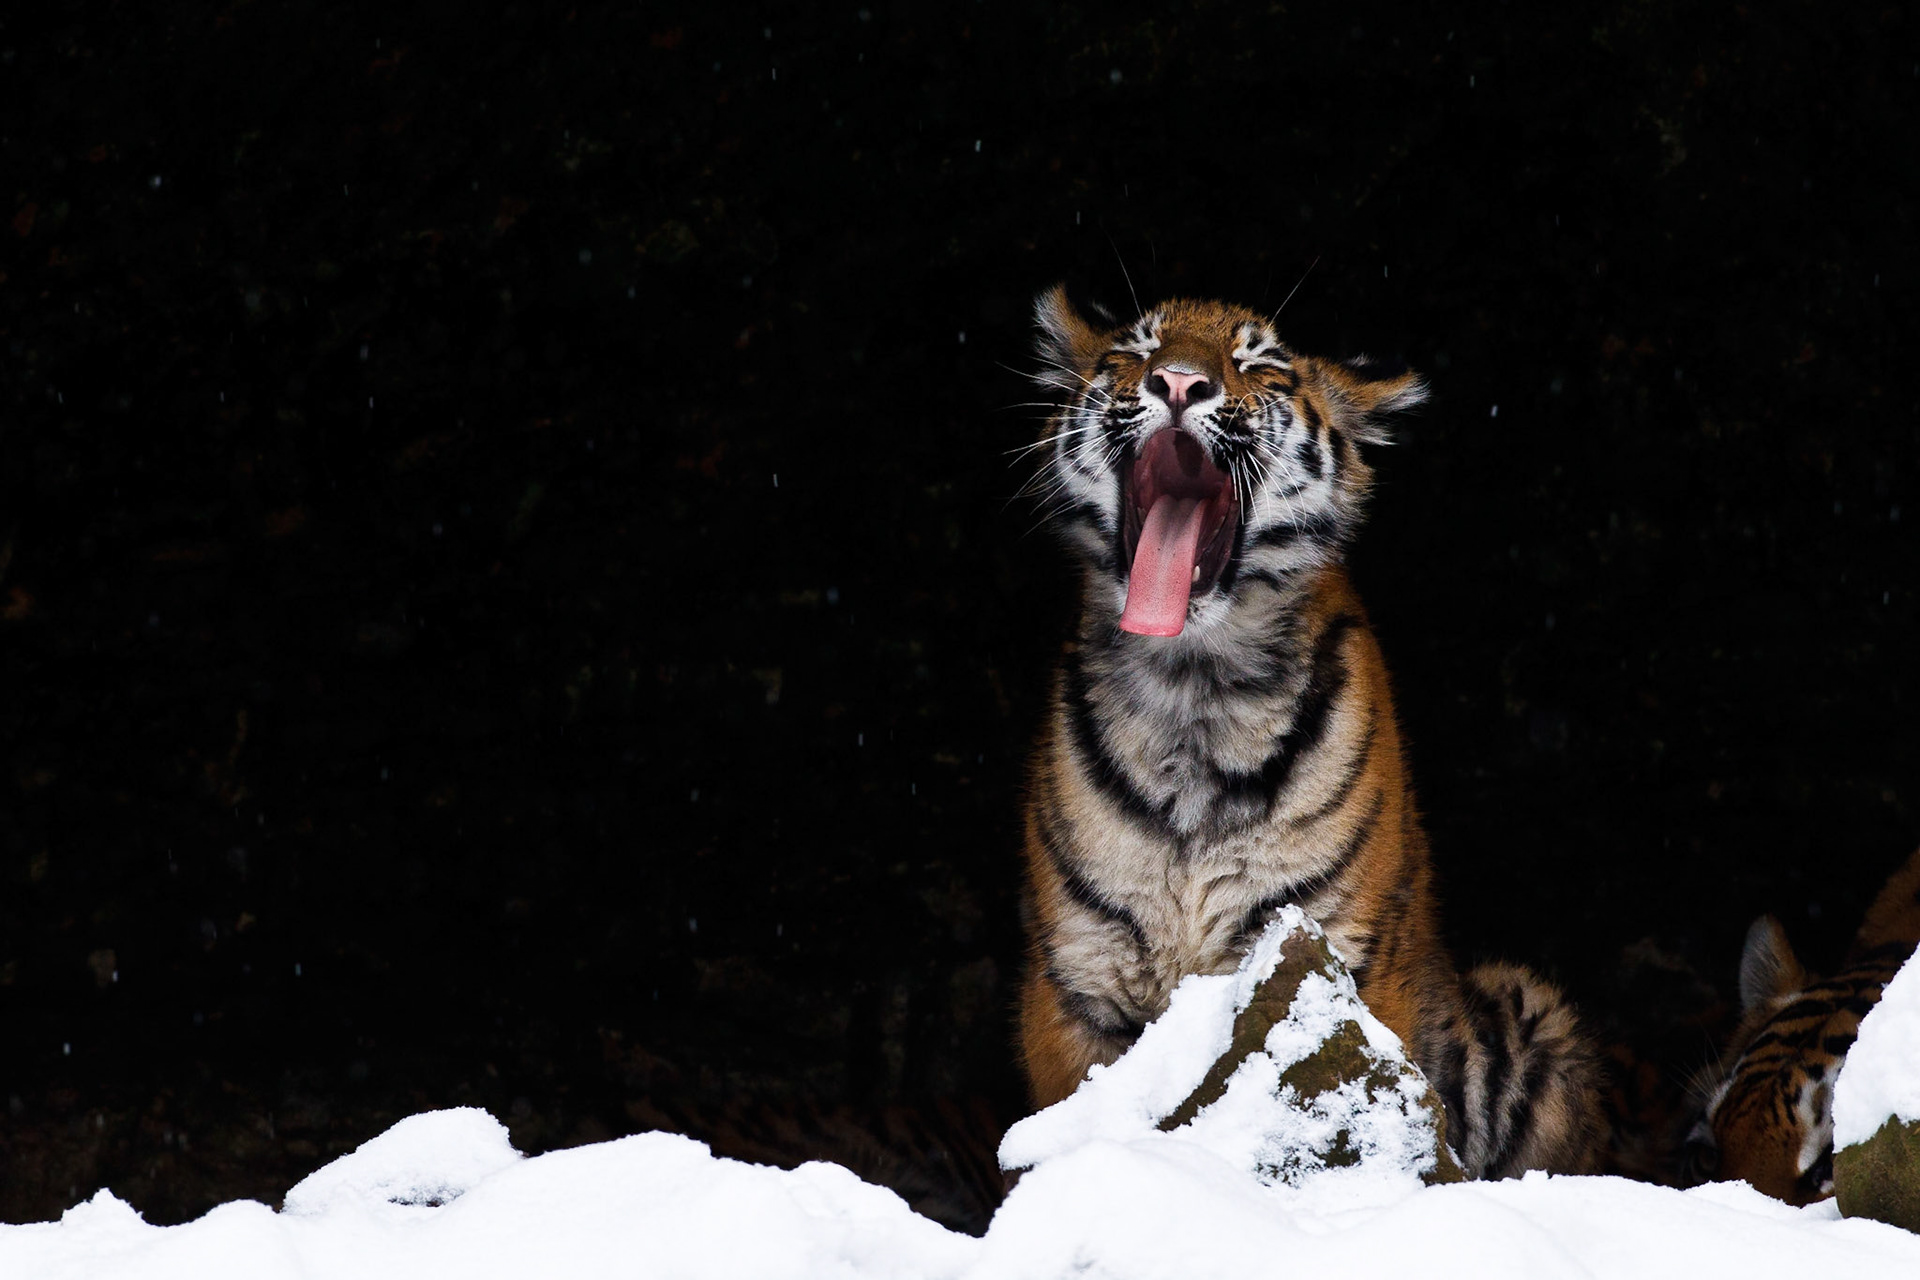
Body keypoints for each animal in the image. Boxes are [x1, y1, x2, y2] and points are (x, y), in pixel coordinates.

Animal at [1015, 286, 1605, 1179]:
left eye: (1257, 364)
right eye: (1135, 352)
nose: (1177, 382)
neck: (1193, 691)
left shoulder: (1332, 958)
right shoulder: (1076, 986)